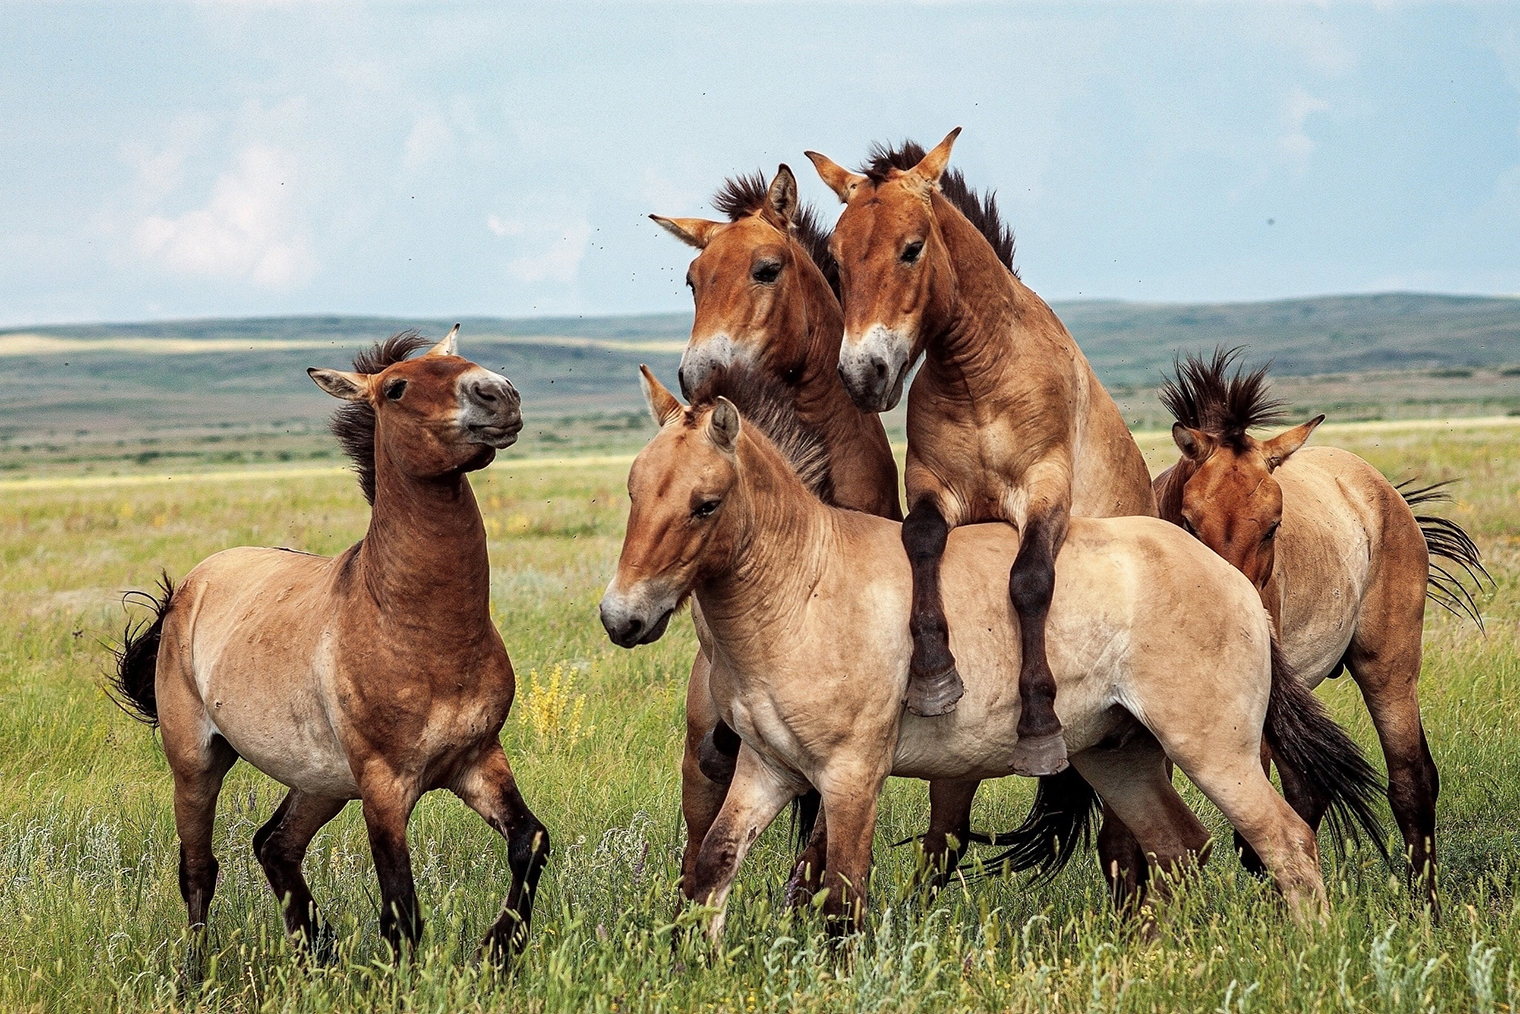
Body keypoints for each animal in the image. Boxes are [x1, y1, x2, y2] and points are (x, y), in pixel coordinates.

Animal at [110, 326, 553, 972]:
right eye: (396, 389)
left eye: (460, 361)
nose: (498, 394)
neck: (421, 630)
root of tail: (189, 587)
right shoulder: (384, 786)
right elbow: (401, 910)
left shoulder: (477, 759)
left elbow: (530, 842)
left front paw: (494, 951)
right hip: (197, 764)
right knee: (198, 869)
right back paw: (199, 975)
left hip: (319, 781)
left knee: (274, 845)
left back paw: (318, 956)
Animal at [598, 372, 1386, 942]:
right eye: (634, 491)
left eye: (705, 504)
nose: (622, 617)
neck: (804, 588)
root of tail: (1235, 584)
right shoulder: (767, 771)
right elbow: (712, 869)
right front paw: (696, 967)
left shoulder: (849, 778)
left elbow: (842, 899)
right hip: (1118, 756)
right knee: (1180, 847)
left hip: (1212, 750)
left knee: (1287, 842)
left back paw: (1309, 953)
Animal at [808, 126, 1149, 784]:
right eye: (835, 258)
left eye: (912, 249)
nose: (864, 374)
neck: (980, 381)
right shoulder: (934, 488)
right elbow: (920, 540)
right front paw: (934, 675)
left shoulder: (1045, 490)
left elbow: (1030, 580)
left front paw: (1039, 728)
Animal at [1155, 349, 1489, 912]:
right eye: (1190, 524)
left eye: (1273, 526)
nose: (1236, 617)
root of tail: (1383, 491)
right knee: (1308, 790)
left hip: (1387, 670)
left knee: (1411, 783)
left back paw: (1427, 911)